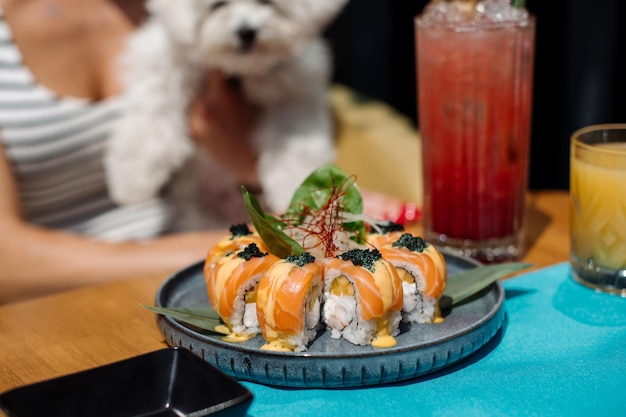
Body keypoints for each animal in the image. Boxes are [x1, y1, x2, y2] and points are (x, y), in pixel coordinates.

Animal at [103, 0, 346, 228]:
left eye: (267, 2)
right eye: (217, 5)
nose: (246, 31)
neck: (237, 69)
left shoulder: (296, 93)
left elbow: (295, 148)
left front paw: (300, 191)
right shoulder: (164, 61)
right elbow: (153, 111)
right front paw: (132, 178)